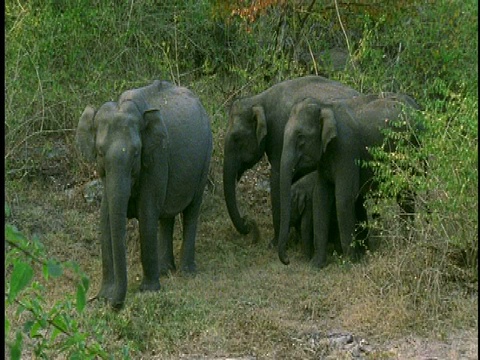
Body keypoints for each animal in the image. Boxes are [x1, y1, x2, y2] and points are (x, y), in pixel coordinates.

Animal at [75, 80, 212, 308]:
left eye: (136, 153)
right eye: (100, 153)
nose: (115, 305)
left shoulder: (156, 157)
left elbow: (147, 213)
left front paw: (149, 291)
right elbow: (105, 219)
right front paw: (104, 295)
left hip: (205, 157)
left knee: (192, 209)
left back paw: (186, 272)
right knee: (166, 217)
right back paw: (166, 270)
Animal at [223, 75, 358, 245]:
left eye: (236, 138)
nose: (248, 222)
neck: (259, 99)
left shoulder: (279, 136)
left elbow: (277, 181)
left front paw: (274, 243)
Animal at [278, 93, 420, 268]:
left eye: (300, 137)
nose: (287, 260)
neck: (325, 106)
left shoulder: (346, 148)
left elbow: (344, 198)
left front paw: (349, 263)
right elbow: (321, 196)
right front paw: (316, 265)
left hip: (414, 149)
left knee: (407, 194)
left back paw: (407, 243)